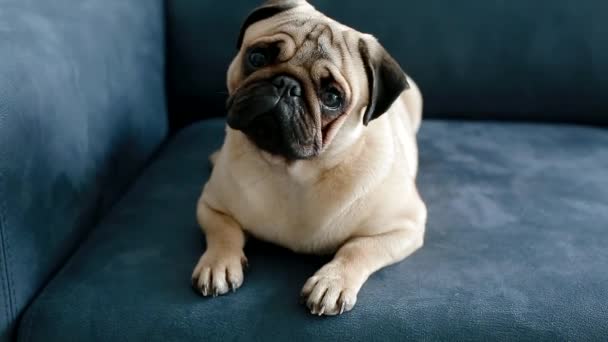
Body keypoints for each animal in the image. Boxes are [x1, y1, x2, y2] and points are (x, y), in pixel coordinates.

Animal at [191, 0, 428, 316]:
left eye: (332, 98)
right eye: (257, 57)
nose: (285, 84)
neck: (293, 171)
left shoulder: (404, 226)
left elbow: (357, 249)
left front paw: (332, 281)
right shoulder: (211, 206)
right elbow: (223, 231)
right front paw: (219, 263)